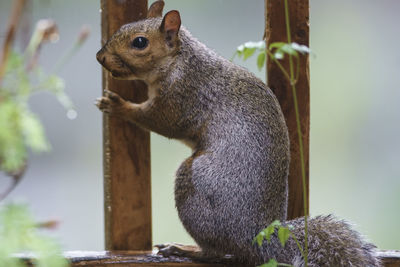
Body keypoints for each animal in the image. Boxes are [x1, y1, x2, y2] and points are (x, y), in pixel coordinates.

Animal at [94, 1, 382, 266]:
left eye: (139, 42)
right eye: (122, 28)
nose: (100, 57)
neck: (180, 60)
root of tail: (259, 239)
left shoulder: (182, 98)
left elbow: (159, 120)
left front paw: (119, 106)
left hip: (194, 188)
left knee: (215, 252)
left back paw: (186, 249)